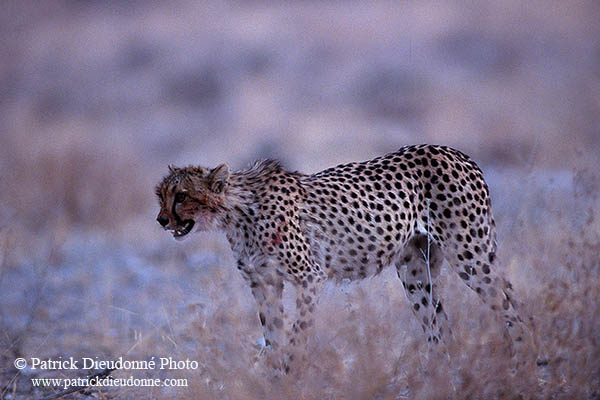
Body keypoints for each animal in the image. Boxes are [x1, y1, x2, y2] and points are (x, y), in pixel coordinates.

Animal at [156, 145, 536, 374]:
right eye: (161, 196)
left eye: (182, 196)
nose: (160, 220)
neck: (237, 212)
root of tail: (454, 151)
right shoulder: (264, 283)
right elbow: (273, 333)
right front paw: (274, 374)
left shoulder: (309, 277)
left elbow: (297, 333)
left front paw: (290, 373)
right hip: (416, 269)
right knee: (439, 326)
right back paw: (438, 373)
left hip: (470, 254)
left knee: (509, 306)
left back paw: (525, 359)